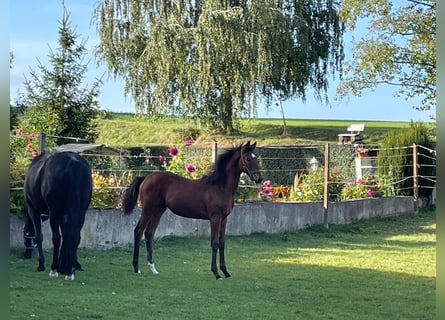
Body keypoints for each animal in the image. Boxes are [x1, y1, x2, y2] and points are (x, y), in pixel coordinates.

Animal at [121, 141, 260, 278]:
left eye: (256, 158)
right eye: (248, 159)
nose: (259, 178)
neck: (219, 187)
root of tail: (146, 178)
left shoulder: (224, 219)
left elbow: (222, 243)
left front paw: (225, 272)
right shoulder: (215, 218)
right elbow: (214, 243)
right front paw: (216, 273)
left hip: (158, 211)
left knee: (149, 234)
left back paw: (153, 269)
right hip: (148, 210)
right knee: (138, 232)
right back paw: (136, 268)